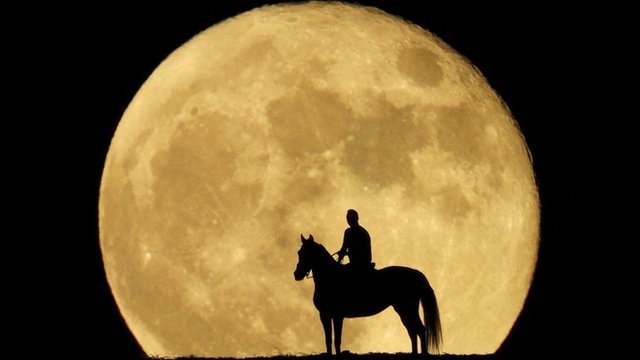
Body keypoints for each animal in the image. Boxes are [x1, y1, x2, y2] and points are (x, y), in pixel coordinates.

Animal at [294, 233, 440, 354]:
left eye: (307, 253)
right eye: (299, 252)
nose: (297, 274)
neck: (330, 276)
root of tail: (417, 274)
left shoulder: (337, 315)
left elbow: (337, 340)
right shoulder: (324, 315)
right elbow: (328, 339)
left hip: (407, 309)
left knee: (420, 330)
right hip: (403, 310)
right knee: (413, 332)